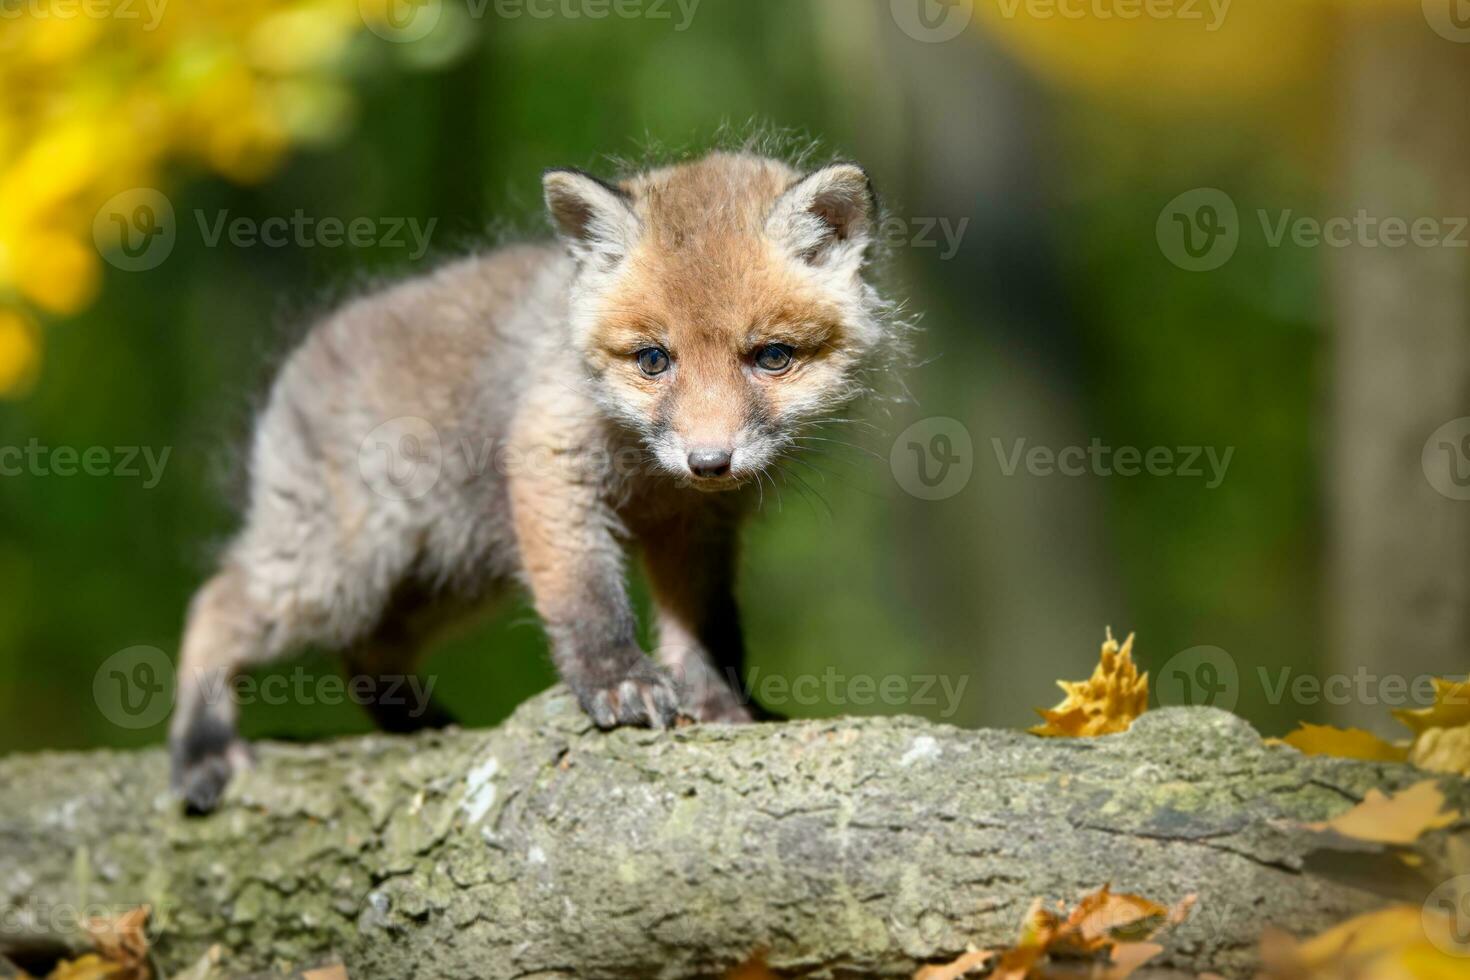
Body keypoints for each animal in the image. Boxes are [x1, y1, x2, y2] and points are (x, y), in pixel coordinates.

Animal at [171, 151, 899, 811]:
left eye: (771, 357)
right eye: (653, 360)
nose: (708, 462)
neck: (648, 471)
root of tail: (300, 356)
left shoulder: (695, 528)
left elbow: (705, 628)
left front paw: (721, 707)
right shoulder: (552, 465)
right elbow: (588, 600)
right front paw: (619, 682)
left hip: (447, 576)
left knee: (365, 653)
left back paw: (422, 727)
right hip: (340, 572)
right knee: (216, 601)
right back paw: (202, 748)